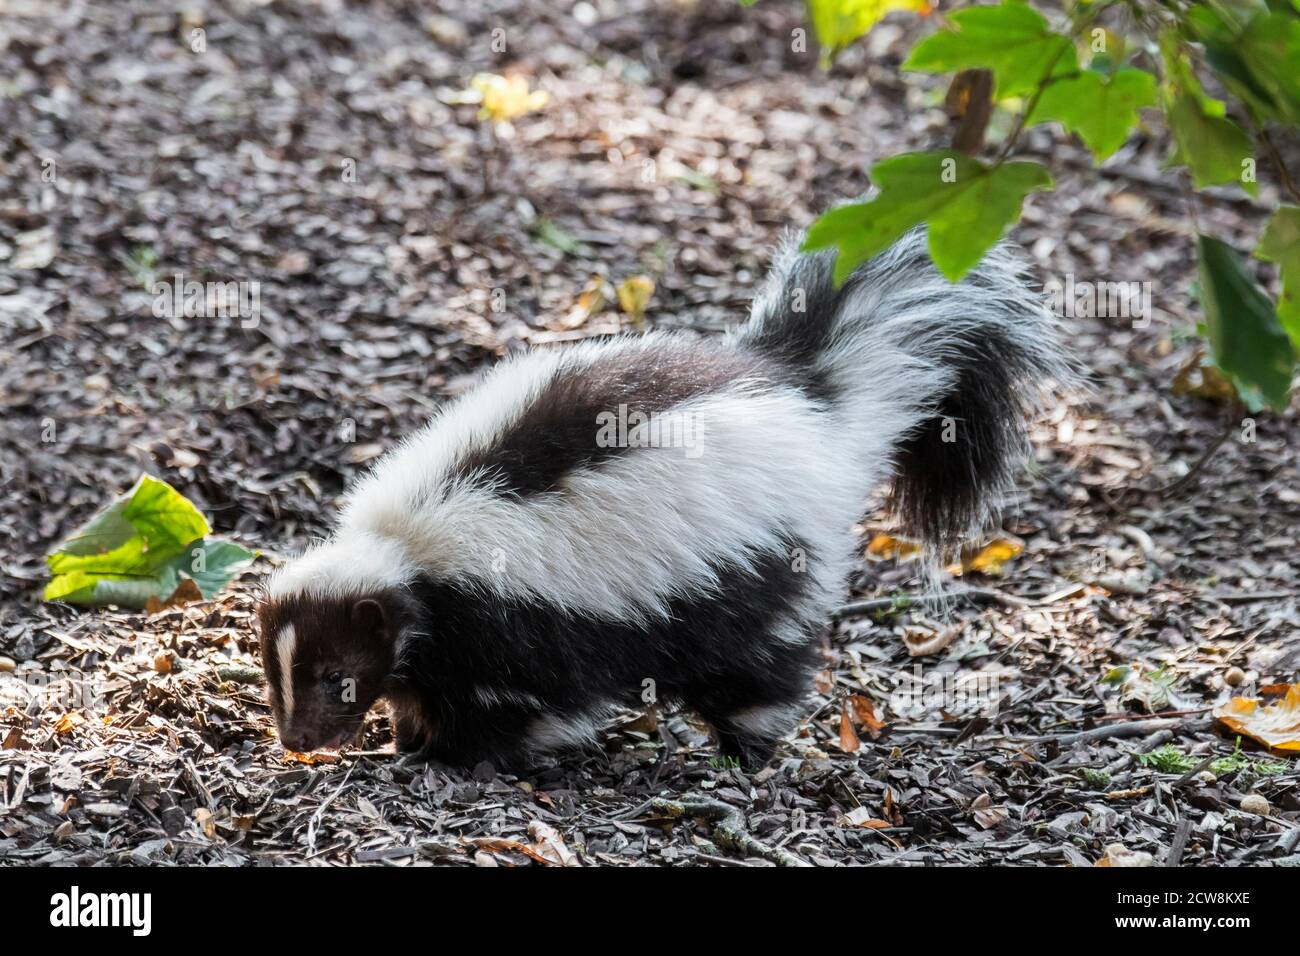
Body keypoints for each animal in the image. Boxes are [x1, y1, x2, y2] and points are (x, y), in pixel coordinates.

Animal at [258, 230, 1071, 770]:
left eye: (337, 680)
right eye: (276, 673)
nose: (297, 740)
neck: (404, 553)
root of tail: (811, 401)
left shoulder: (517, 621)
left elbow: (526, 701)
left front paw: (463, 753)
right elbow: (425, 680)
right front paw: (413, 735)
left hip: (762, 565)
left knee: (761, 664)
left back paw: (747, 749)